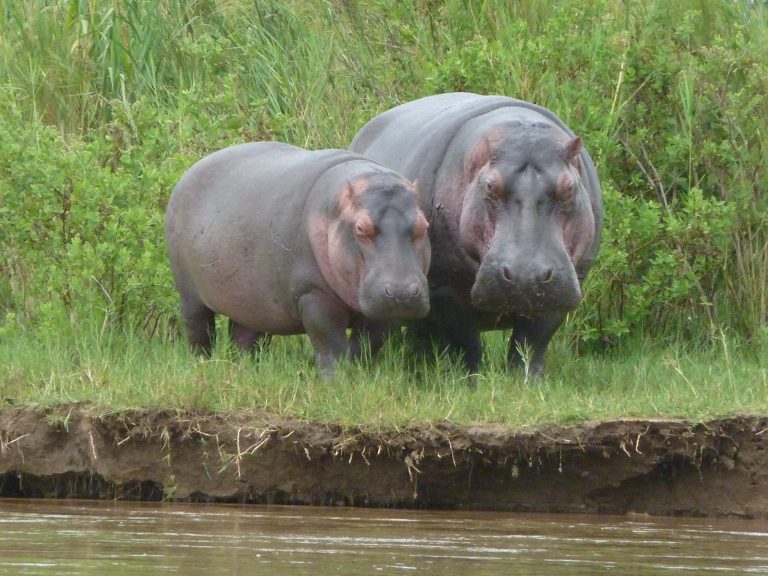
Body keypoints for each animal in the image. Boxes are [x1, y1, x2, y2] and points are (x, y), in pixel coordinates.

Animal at [165, 142, 431, 377]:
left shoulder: (379, 311)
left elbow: (365, 346)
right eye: (360, 228)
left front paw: (360, 376)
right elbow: (330, 346)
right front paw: (337, 383)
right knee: (199, 331)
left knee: (244, 337)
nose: (402, 292)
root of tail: (188, 172)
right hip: (189, 294)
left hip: (251, 302)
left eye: (423, 225)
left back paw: (246, 371)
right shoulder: (313, 295)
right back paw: (202, 366)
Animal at [350, 92, 602, 376]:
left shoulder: (566, 284)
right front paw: (471, 379)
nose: (526, 276)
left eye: (569, 187)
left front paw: (525, 380)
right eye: (490, 186)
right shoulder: (446, 288)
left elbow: (532, 343)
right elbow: (466, 342)